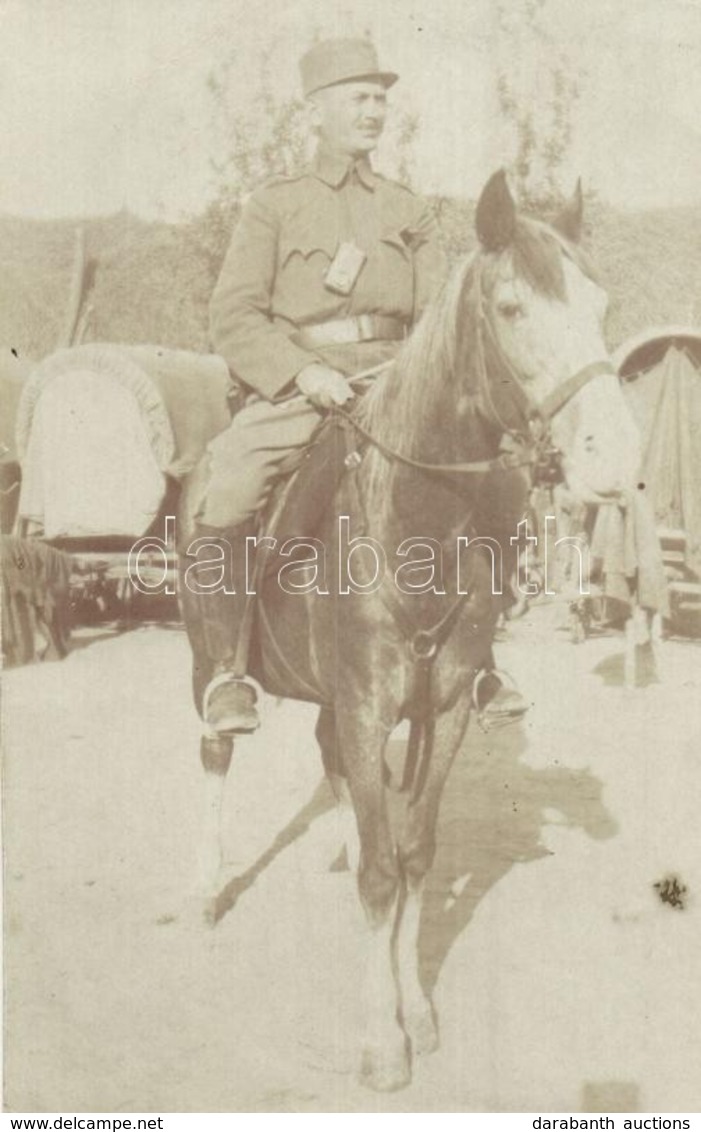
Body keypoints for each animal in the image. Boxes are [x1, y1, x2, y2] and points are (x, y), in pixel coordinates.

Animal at [180, 167, 643, 1086]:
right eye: (510, 307)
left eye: (602, 305)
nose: (615, 461)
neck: (415, 515)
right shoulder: (366, 709)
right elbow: (381, 873)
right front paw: (381, 1038)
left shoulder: (442, 706)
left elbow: (413, 852)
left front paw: (416, 1011)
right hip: (204, 659)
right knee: (216, 751)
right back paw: (210, 884)